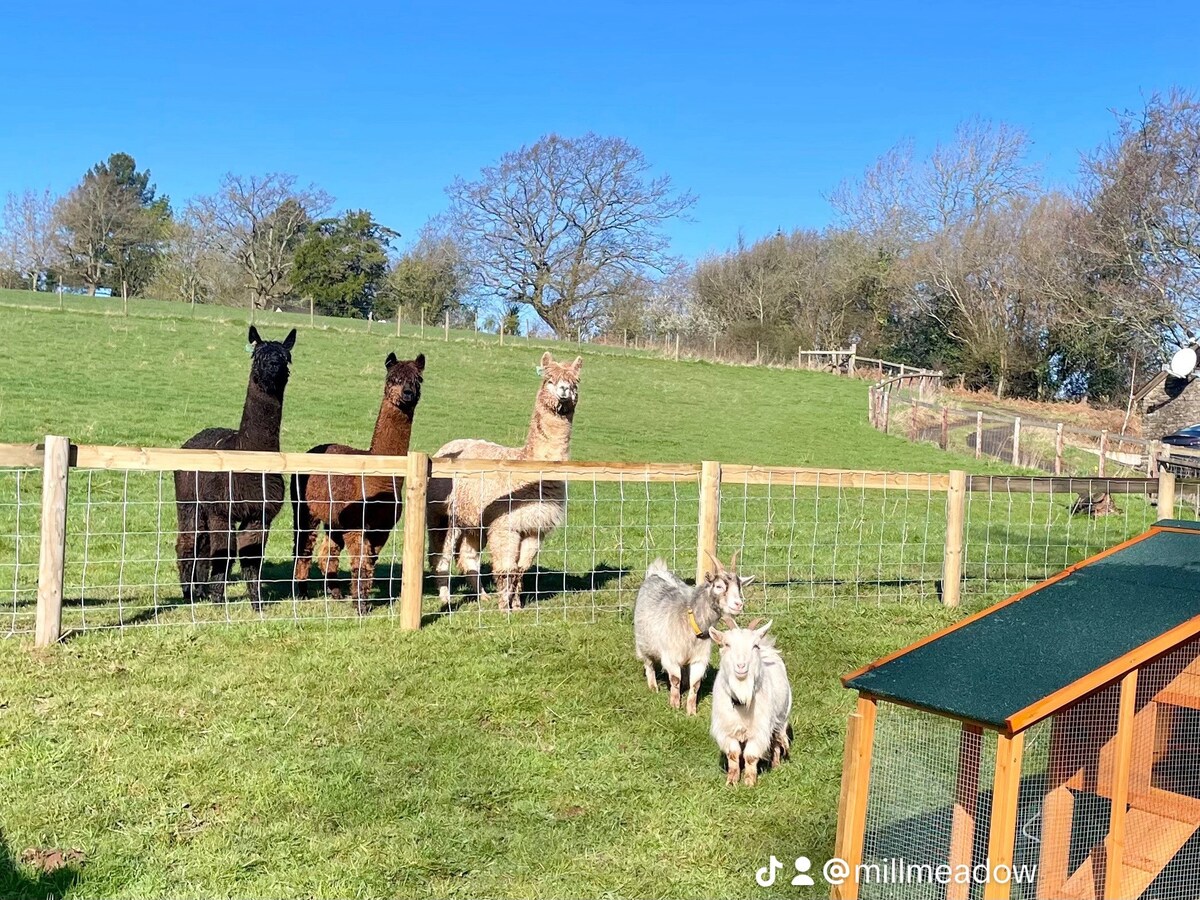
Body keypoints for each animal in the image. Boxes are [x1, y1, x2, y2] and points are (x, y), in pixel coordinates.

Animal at [628, 554, 748, 715]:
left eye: (739, 587)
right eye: (719, 586)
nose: (738, 604)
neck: (691, 620)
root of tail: (657, 571)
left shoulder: (700, 658)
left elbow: (695, 684)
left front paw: (691, 711)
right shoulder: (671, 656)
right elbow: (675, 679)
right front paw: (674, 705)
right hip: (643, 643)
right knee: (648, 663)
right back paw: (653, 687)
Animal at [705, 624, 792, 787]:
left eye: (754, 646)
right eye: (726, 644)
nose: (741, 666)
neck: (741, 702)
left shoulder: (759, 731)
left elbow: (751, 756)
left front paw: (749, 782)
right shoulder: (726, 731)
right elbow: (733, 754)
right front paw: (732, 781)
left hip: (782, 718)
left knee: (777, 741)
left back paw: (776, 765)